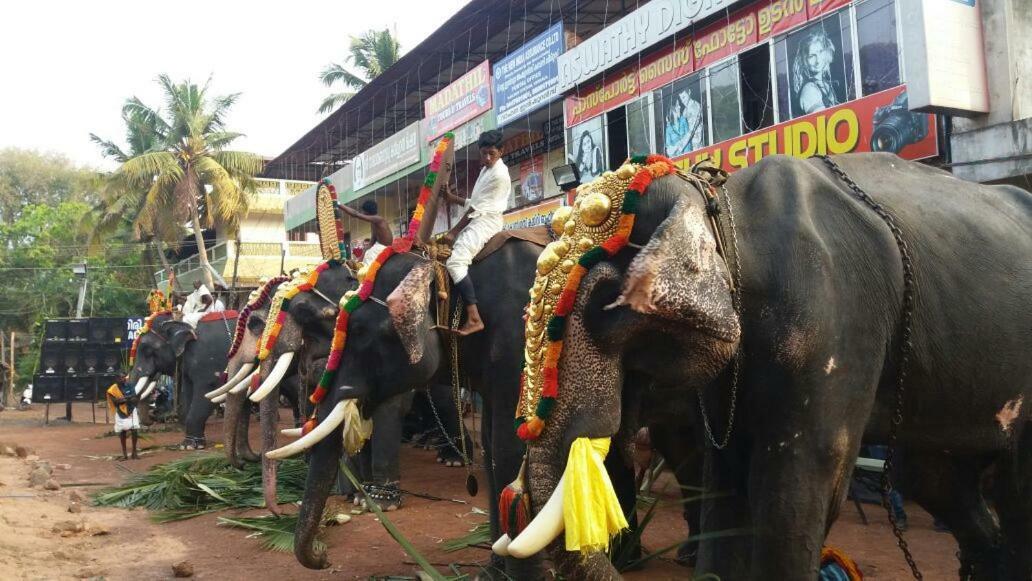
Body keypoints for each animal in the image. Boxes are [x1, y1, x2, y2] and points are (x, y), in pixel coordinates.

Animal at [501, 154, 1032, 581]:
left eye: (604, 305)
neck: (720, 203)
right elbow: (726, 481)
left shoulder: (833, 318)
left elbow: (795, 488)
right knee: (932, 477)